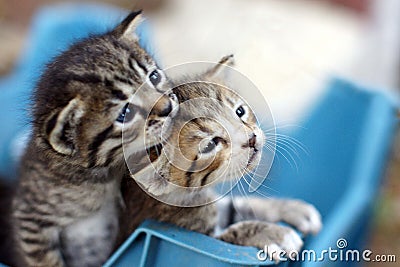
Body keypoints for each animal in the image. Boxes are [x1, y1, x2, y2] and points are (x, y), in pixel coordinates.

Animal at [11, 11, 177, 267]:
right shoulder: (30, 218)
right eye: (125, 113)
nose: (168, 107)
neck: (101, 175)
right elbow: (45, 260)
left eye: (155, 76)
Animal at [119, 55, 322, 262]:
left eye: (240, 112)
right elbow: (228, 237)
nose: (251, 139)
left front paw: (288, 208)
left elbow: (238, 207)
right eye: (210, 145)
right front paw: (274, 234)